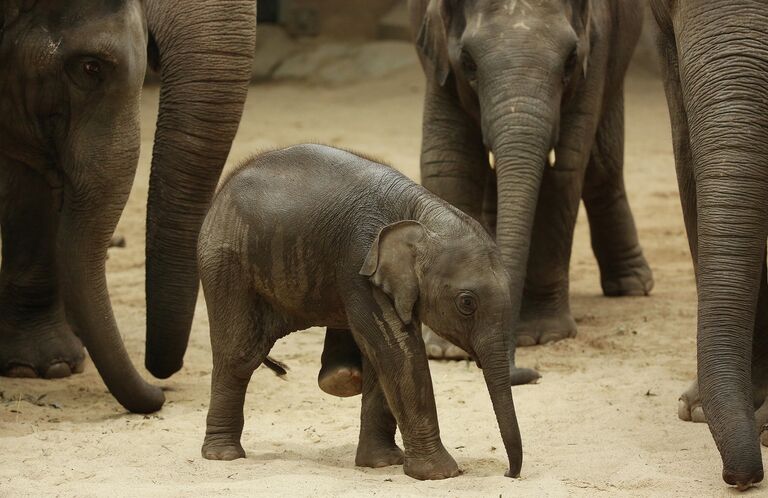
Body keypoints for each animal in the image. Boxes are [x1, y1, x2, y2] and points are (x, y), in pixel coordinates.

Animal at [196, 146, 520, 480]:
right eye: (466, 303)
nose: (509, 474)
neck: (420, 211)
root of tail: (223, 187)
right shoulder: (359, 263)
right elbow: (397, 351)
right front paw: (441, 474)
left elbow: (383, 356)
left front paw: (382, 463)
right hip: (226, 264)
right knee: (239, 355)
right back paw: (224, 455)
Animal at [408, 0, 656, 362]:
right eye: (468, 62)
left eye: (570, 60)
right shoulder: (438, 60)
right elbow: (449, 162)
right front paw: (445, 349)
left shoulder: (594, 57)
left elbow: (563, 170)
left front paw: (543, 335)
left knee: (601, 168)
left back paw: (632, 286)